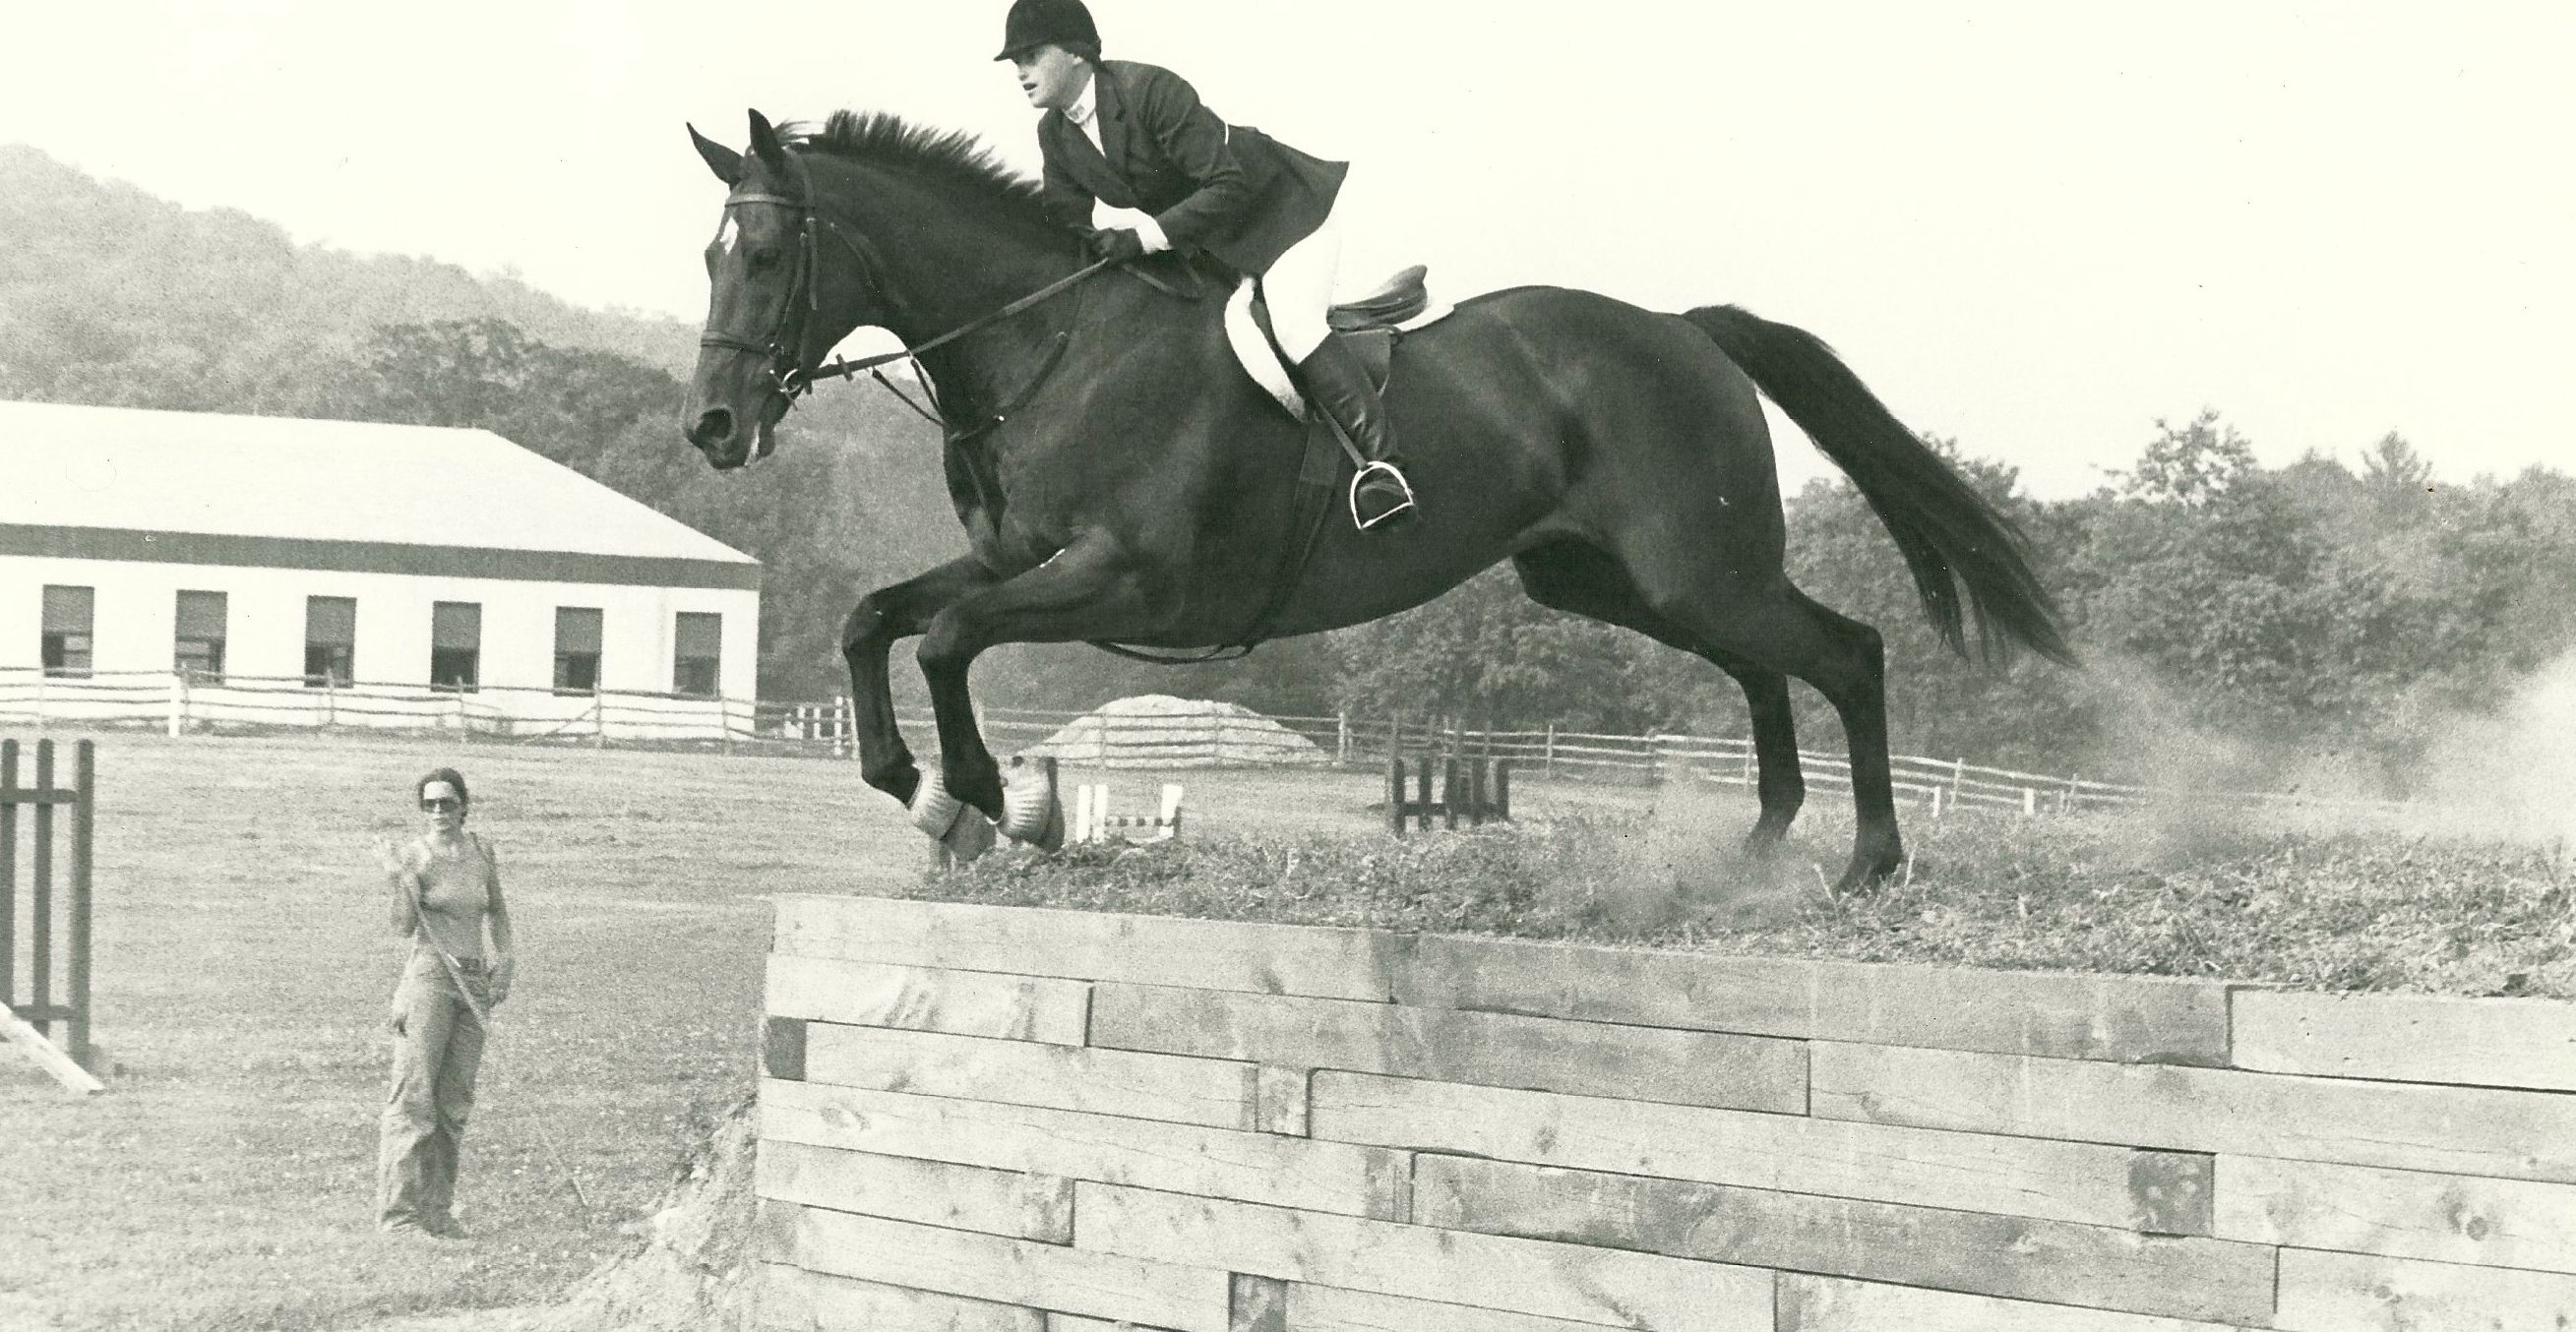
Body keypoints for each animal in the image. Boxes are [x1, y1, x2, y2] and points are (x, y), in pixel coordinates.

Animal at [681, 109, 2070, 891]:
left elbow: (950, 639)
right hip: (1620, 581)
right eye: (706, 255)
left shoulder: (1121, 577)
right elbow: (877, 619)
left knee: (1847, 650)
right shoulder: (1015, 559)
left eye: (768, 254)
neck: (1047, 346)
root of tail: (1684, 330)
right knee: (1766, 667)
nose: (712, 427)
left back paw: (1868, 863)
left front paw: (997, 797)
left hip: (1690, 572)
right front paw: (911, 782)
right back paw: (1762, 848)